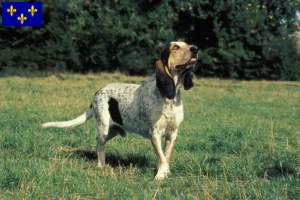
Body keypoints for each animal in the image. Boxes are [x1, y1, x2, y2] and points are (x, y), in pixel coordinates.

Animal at [41, 41, 198, 180]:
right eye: (175, 47)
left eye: (187, 44)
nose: (195, 48)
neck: (169, 98)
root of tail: (97, 92)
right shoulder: (155, 134)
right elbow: (162, 158)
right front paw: (160, 175)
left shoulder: (173, 134)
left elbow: (166, 156)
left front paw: (165, 173)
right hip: (104, 128)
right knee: (99, 145)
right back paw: (101, 166)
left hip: (113, 131)